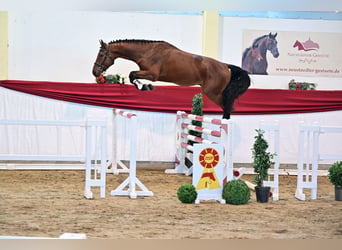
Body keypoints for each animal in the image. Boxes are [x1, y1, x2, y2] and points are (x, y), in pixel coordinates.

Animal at [92, 39, 250, 119]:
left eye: (101, 55)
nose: (94, 72)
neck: (147, 52)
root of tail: (225, 66)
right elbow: (132, 76)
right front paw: (145, 87)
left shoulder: (152, 74)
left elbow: (132, 75)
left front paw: (145, 87)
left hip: (213, 93)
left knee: (228, 110)